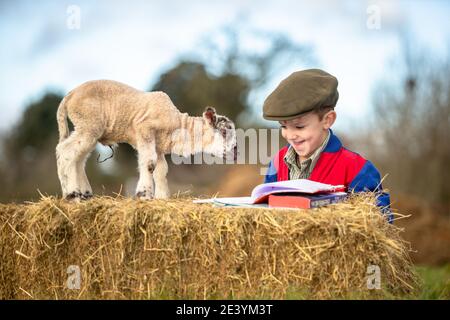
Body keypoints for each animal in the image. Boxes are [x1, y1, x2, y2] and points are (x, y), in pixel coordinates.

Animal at [55, 79, 237, 200]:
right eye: (224, 131)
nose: (236, 152)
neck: (178, 125)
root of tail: (69, 96)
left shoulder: (158, 144)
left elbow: (161, 170)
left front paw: (162, 198)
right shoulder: (144, 129)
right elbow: (149, 163)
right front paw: (143, 194)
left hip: (89, 130)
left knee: (77, 158)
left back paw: (82, 194)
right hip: (88, 124)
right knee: (66, 151)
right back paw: (72, 194)